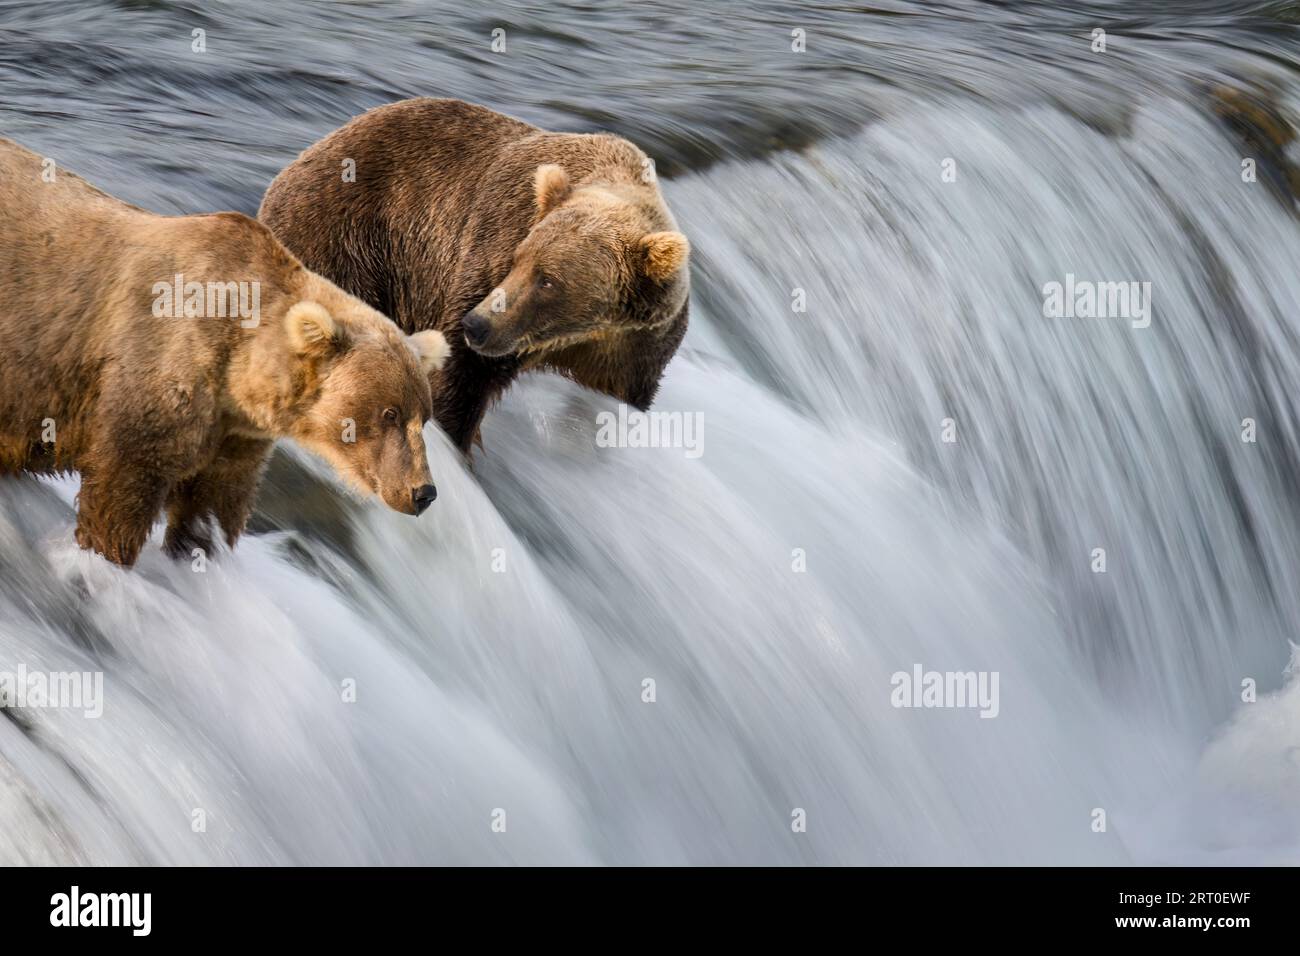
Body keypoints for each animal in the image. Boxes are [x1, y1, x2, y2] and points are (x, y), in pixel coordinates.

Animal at [0, 136, 449, 567]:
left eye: (423, 417)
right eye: (389, 413)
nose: (423, 492)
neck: (237, 371)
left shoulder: (235, 434)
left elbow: (214, 503)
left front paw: (196, 550)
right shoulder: (156, 371)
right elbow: (124, 484)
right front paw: (106, 555)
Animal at [257, 98, 696, 455]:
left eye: (548, 280)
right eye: (518, 260)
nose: (479, 325)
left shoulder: (632, 348)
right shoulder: (491, 247)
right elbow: (457, 385)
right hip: (345, 242)